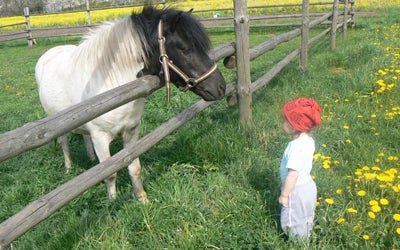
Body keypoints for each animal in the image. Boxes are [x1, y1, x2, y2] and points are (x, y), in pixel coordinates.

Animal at [35, 4, 225, 202]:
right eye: (185, 49)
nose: (221, 86)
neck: (112, 83)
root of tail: (48, 54)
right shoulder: (100, 138)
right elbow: (110, 174)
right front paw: (112, 202)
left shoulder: (131, 131)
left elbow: (134, 168)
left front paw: (142, 199)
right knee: (64, 142)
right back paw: (69, 167)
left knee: (84, 136)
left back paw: (91, 160)